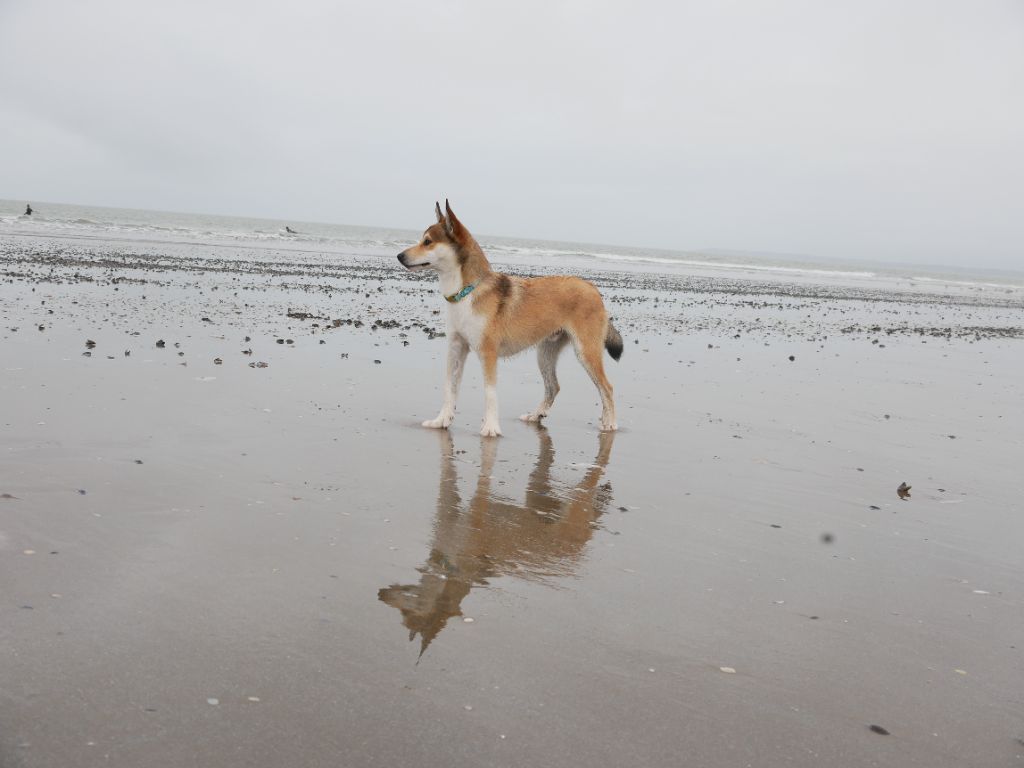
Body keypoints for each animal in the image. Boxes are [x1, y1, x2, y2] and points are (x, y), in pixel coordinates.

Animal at [397, 201, 622, 436]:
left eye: (428, 241)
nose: (399, 256)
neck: (467, 293)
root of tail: (591, 287)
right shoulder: (456, 348)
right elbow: (449, 388)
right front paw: (441, 420)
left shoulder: (488, 353)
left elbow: (489, 392)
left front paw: (490, 427)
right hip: (545, 352)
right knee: (553, 387)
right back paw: (535, 415)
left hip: (586, 352)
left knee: (606, 387)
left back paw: (610, 423)